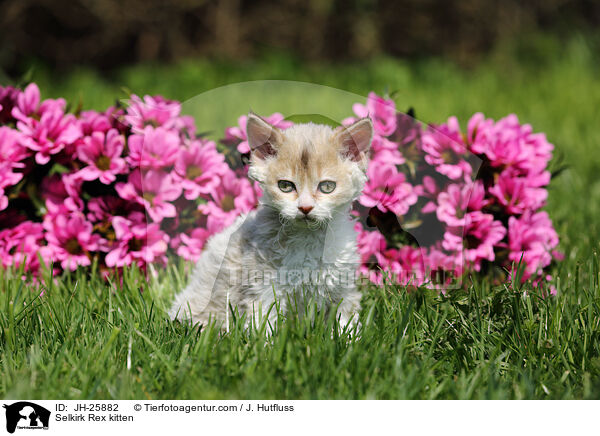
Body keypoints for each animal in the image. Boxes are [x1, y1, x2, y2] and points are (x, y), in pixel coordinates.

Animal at [169, 112, 372, 330]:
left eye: (327, 187)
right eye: (285, 186)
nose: (305, 208)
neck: (308, 237)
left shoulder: (344, 287)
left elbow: (344, 320)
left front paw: (347, 336)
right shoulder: (263, 287)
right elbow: (263, 324)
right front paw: (265, 339)